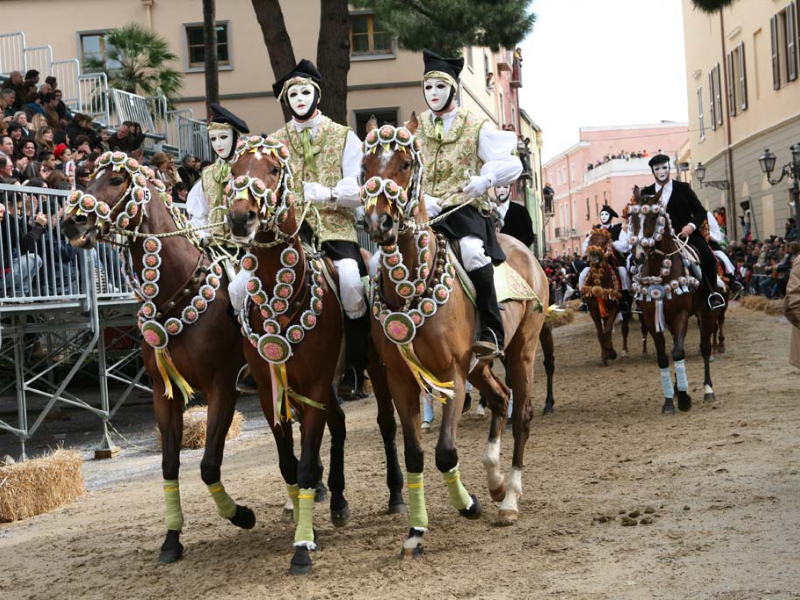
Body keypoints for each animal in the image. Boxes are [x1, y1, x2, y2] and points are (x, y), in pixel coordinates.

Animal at [63, 150, 255, 564]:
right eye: (87, 177)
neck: (178, 293)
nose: (72, 221)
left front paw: (241, 515)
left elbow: (208, 464)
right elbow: (169, 464)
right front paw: (171, 538)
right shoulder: (163, 394)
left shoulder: (222, 388)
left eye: (116, 180)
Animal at [223, 136, 404, 576]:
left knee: (386, 424)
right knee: (338, 425)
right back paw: (337, 501)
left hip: (374, 368)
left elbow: (305, 464)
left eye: (273, 169)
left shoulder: (317, 383)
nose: (240, 217)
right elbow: (290, 464)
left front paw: (302, 548)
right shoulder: (274, 391)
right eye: (235, 169)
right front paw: (310, 526)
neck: (281, 295)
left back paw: (395, 494)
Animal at [362, 116, 552, 556]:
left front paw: (468, 505)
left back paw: (509, 498)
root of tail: (526, 252)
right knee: (500, 399)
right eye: (364, 165)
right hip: (480, 366)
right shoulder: (401, 380)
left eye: (404, 164)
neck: (410, 288)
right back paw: (496, 482)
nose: (379, 224)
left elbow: (446, 452)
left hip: (521, 351)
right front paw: (416, 532)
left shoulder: (453, 374)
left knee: (521, 415)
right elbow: (415, 455)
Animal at [580, 226, 632, 364]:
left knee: (624, 328)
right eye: (591, 239)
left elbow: (608, 328)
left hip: (627, 307)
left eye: (605, 241)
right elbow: (601, 332)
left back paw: (624, 351)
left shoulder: (614, 306)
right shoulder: (594, 309)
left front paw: (611, 353)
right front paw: (604, 356)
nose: (593, 255)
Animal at [632, 186, 720, 412]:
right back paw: (677, 388)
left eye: (653, 217)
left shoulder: (682, 315)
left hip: (706, 312)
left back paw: (708, 390)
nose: (638, 255)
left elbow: (679, 353)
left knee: (705, 348)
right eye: (632, 218)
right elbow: (664, 357)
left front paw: (684, 399)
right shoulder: (652, 318)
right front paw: (670, 400)